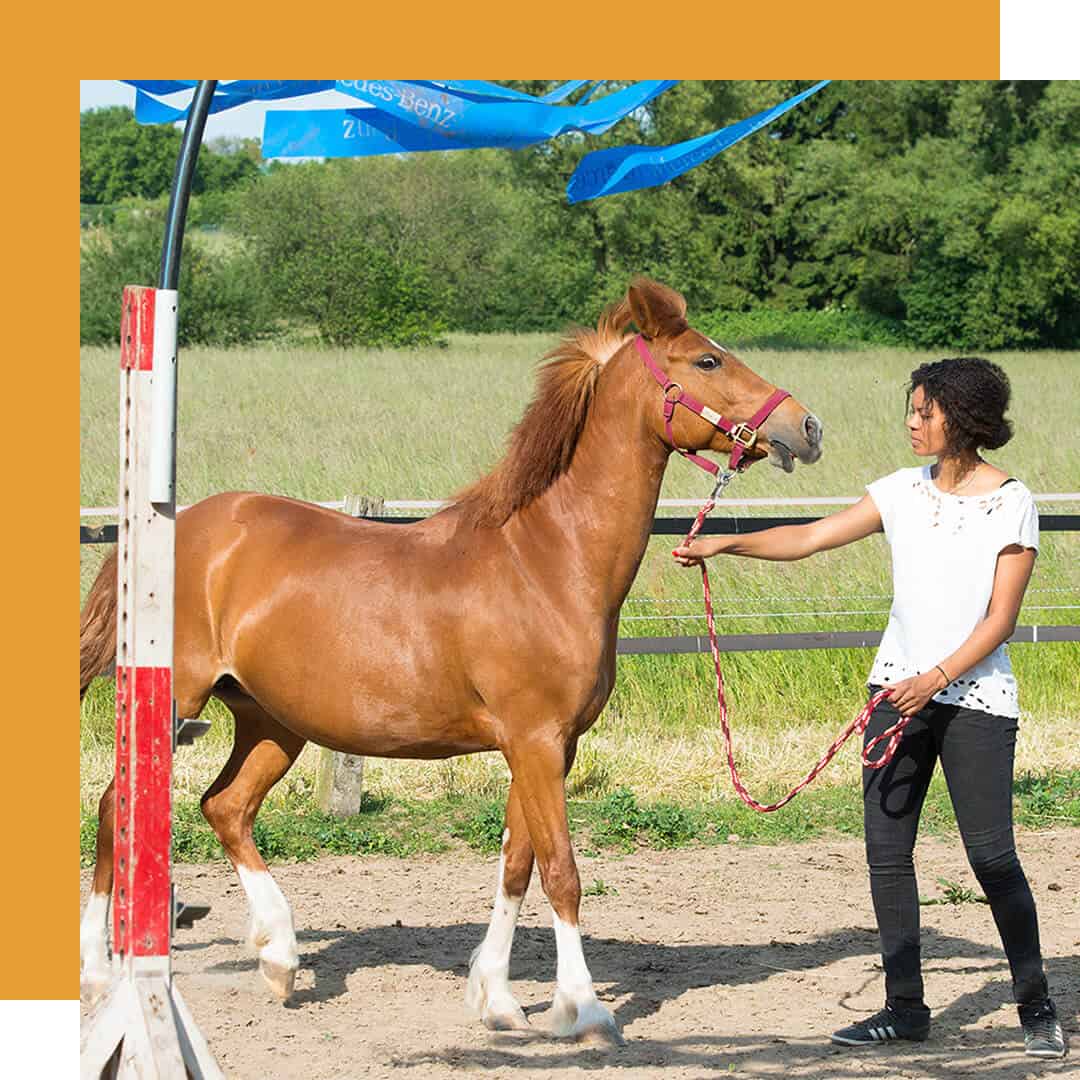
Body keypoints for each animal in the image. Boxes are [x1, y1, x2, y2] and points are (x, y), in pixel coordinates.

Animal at [79, 278, 820, 1045]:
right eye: (707, 360)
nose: (807, 427)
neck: (546, 560)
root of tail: (168, 527)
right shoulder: (535, 740)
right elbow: (561, 872)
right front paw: (584, 1010)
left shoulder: (551, 745)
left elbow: (516, 864)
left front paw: (498, 998)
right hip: (176, 700)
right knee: (114, 808)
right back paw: (103, 970)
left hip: (271, 721)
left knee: (224, 808)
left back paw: (279, 957)